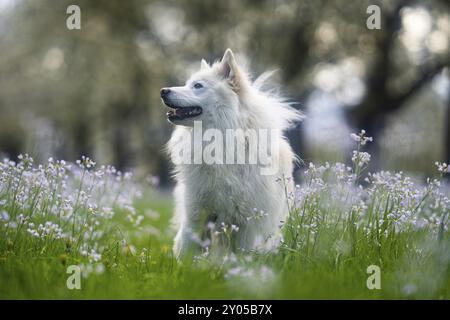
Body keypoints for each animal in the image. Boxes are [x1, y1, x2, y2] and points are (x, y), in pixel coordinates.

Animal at [161, 48, 302, 258]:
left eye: (197, 86)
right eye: (187, 83)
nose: (163, 91)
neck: (221, 141)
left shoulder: (247, 223)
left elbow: (242, 254)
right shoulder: (197, 212)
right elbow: (187, 248)